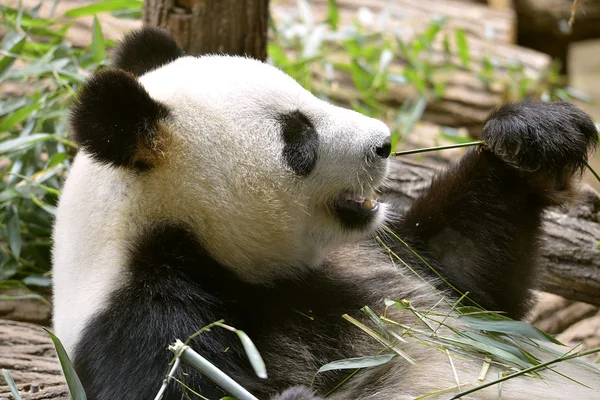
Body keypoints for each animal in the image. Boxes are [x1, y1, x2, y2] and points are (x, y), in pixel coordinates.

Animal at [52, 26, 600, 398]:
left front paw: (534, 133)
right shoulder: (142, 323)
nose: (384, 143)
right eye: (299, 139)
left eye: (310, 93)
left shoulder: (375, 259)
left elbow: (473, 280)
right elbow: (183, 382)